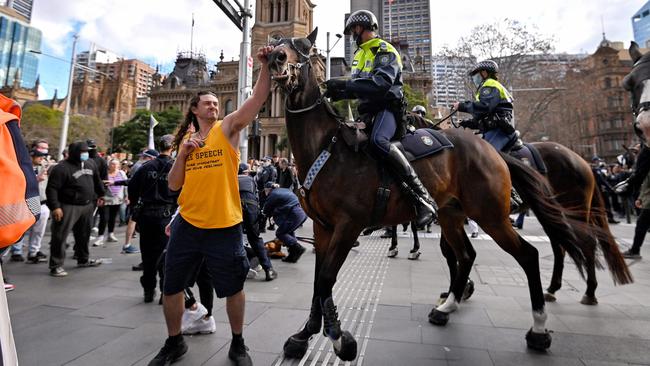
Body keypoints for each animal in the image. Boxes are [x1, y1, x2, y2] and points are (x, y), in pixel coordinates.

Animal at [264, 29, 592, 360]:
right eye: (278, 44)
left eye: (304, 49)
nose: (275, 59)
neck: (328, 148)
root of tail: (491, 150)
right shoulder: (322, 227)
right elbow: (318, 282)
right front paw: (305, 335)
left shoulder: (348, 225)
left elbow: (327, 279)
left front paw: (339, 337)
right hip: (451, 214)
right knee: (468, 254)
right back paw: (448, 307)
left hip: (492, 215)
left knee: (531, 254)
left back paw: (540, 328)